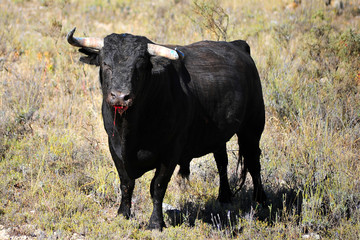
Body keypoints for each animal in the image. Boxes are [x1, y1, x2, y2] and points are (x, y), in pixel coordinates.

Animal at [67, 28, 266, 231]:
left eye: (139, 66)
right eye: (105, 63)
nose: (120, 97)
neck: (131, 129)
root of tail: (237, 45)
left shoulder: (170, 152)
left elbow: (158, 187)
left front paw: (155, 222)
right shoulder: (114, 147)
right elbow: (126, 183)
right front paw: (123, 214)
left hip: (253, 126)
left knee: (253, 162)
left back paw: (260, 200)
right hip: (219, 135)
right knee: (222, 161)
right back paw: (224, 197)